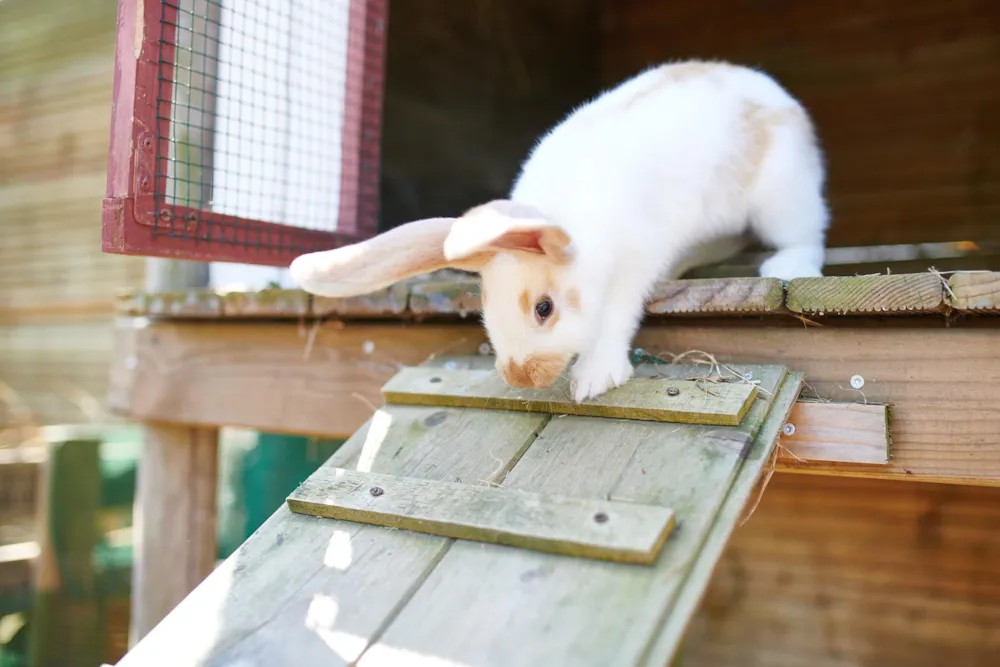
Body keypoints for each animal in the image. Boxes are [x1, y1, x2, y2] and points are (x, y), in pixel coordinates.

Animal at [290, 58, 828, 402]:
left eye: (544, 309)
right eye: (484, 303)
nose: (521, 378)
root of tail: (778, 95)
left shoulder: (632, 267)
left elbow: (614, 318)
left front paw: (594, 378)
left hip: (782, 195)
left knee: (806, 233)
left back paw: (787, 263)